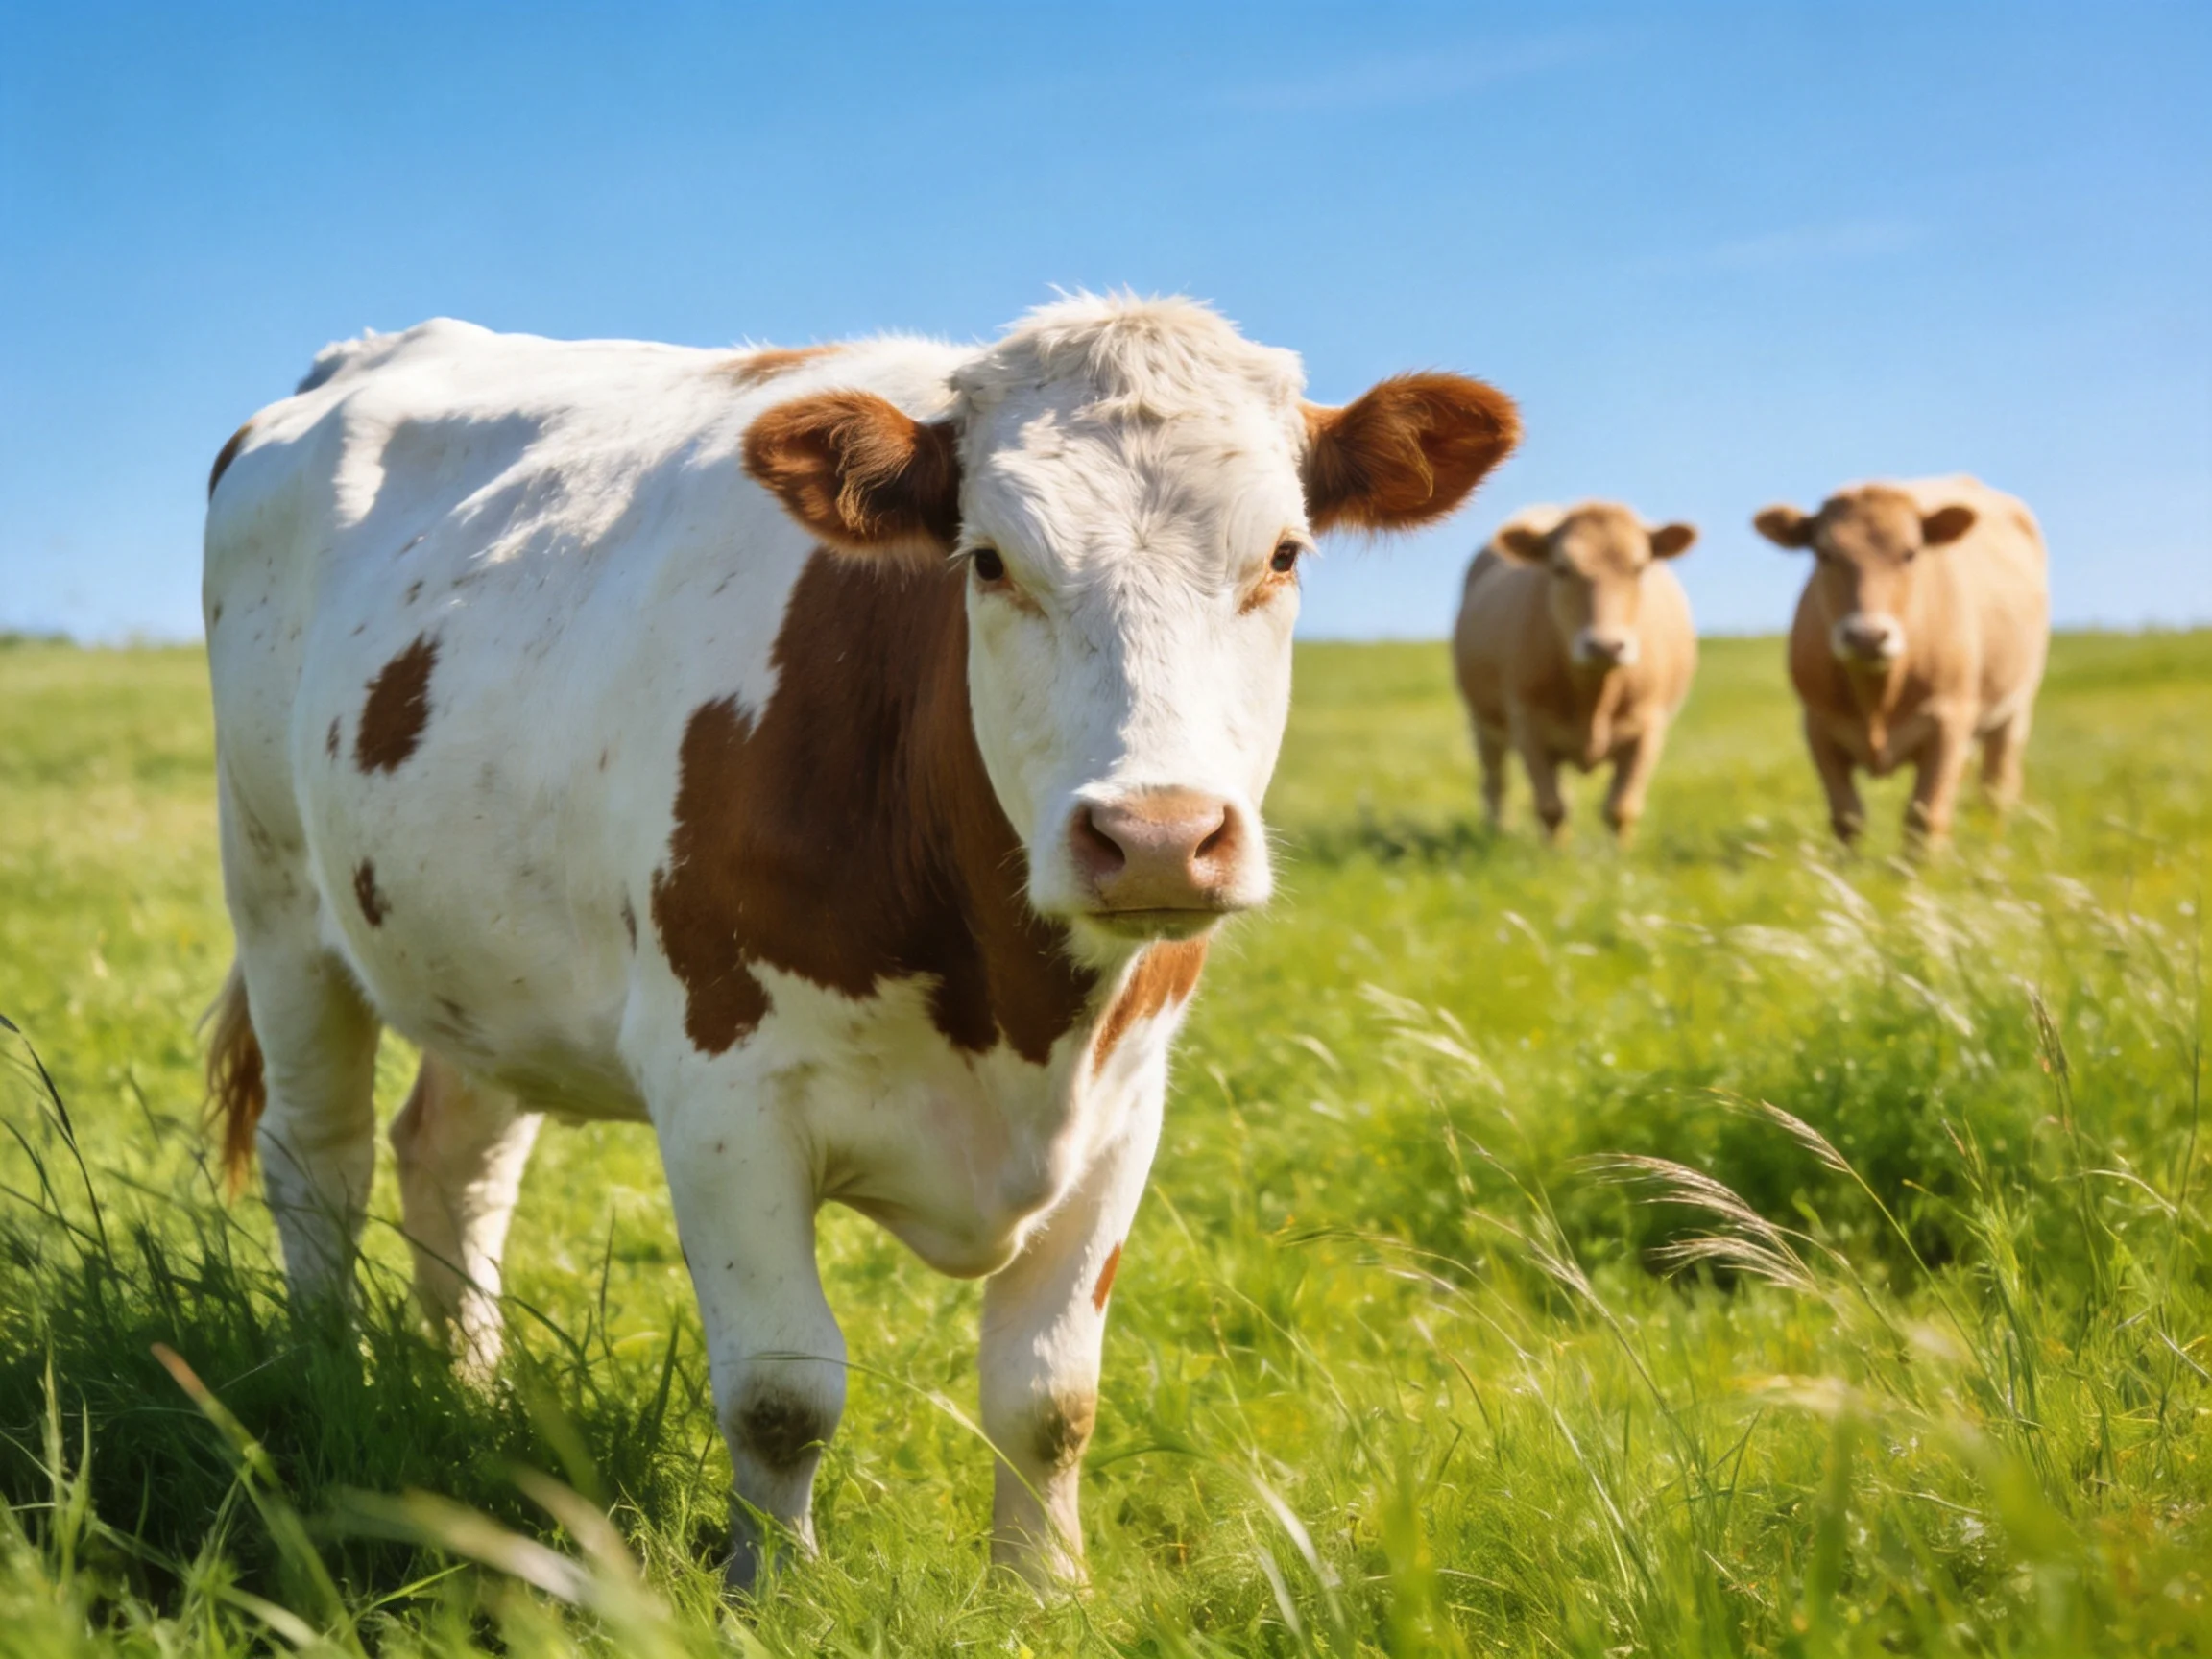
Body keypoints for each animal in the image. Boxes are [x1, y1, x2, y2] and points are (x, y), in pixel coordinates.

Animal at [200, 296, 1518, 1588]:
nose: (1154, 836)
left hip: (482, 965)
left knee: (454, 1164)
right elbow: (784, 1392)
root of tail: (367, 354)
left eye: (1283, 556)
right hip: (277, 895)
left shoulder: (1128, 1101)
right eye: (988, 561)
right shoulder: (720, 1090)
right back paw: (324, 1378)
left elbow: (1051, 1397)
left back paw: (470, 1394)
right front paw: (774, 1593)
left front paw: (1045, 1594)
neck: (1017, 1015)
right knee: (320, 1159)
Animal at [1452, 502, 1698, 843]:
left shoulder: (1648, 727)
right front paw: (1556, 854)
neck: (1594, 695)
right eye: (1560, 569)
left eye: (1638, 568)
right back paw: (1496, 831)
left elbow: (1620, 807)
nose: (1605, 646)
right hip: (1482, 721)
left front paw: (1619, 854)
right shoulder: (1527, 724)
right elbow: (1550, 807)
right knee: (1495, 780)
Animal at [1753, 475, 2048, 847]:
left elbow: (1925, 816)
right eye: (1824, 554)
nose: (1867, 636)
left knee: (1996, 790)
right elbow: (1847, 818)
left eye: (1910, 553)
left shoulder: (1949, 722)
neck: (1877, 697)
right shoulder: (1818, 726)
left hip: (2015, 709)